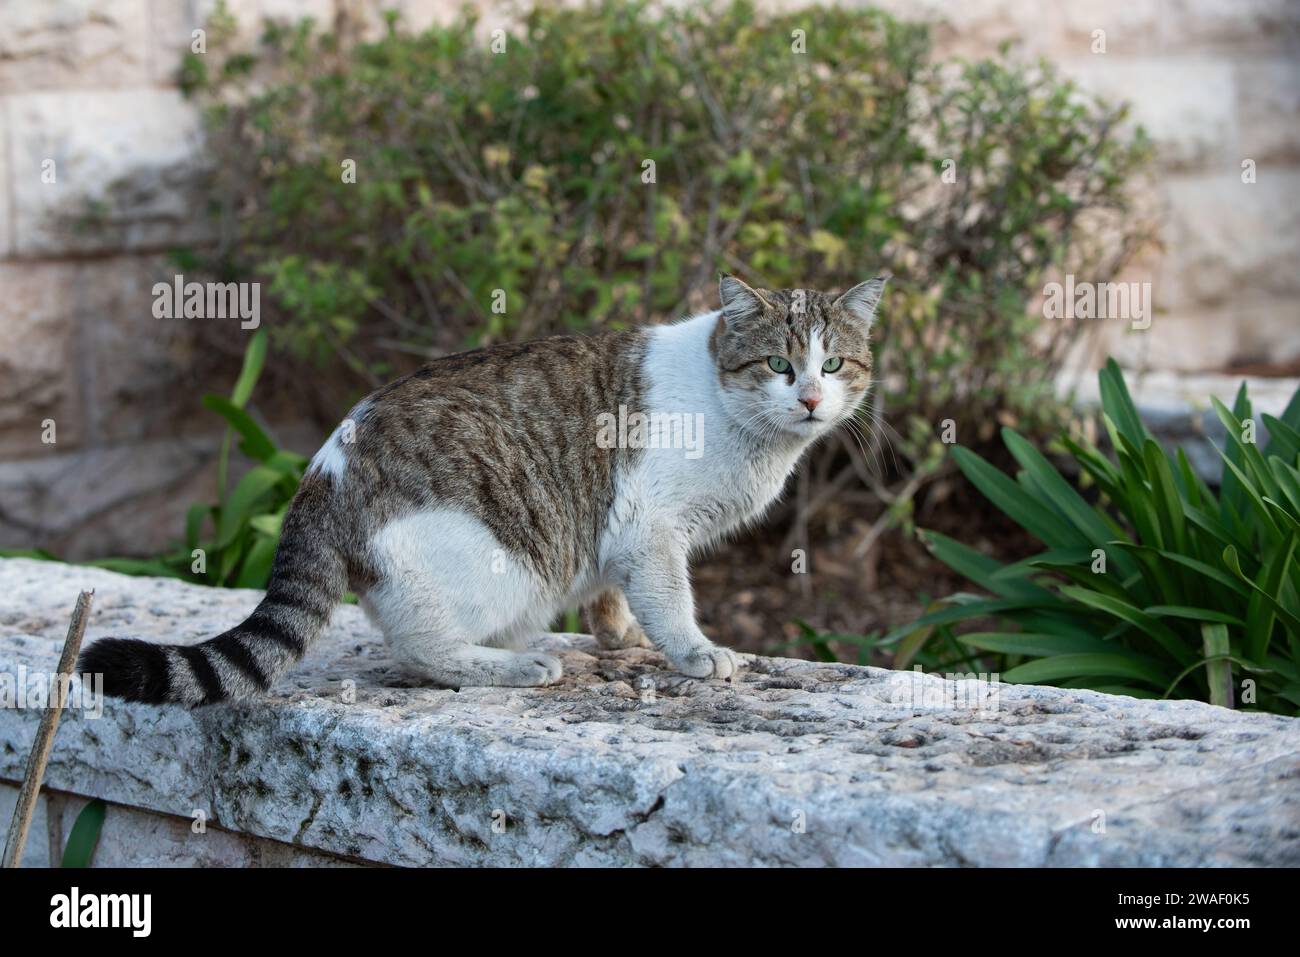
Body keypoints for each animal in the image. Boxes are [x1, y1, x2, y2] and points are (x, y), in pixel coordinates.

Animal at [81, 273, 883, 707]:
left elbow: (613, 595)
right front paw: (694, 651)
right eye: (778, 364)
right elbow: (671, 604)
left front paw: (618, 634)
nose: (812, 399)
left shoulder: (617, 539)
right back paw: (517, 664)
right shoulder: (651, 530)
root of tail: (321, 472)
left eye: (834, 364)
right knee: (420, 649)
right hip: (498, 565)